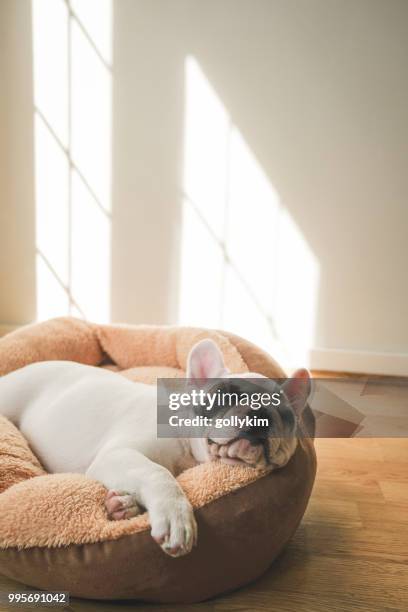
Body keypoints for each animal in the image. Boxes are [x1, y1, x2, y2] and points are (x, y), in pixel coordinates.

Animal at [0, 340, 310, 560]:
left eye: (286, 415)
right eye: (223, 394)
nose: (260, 413)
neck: (187, 449)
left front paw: (124, 505)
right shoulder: (120, 455)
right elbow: (157, 473)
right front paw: (176, 517)